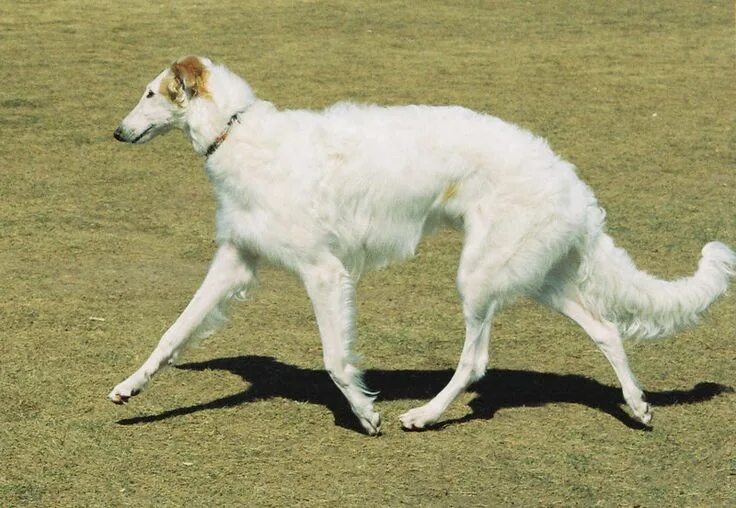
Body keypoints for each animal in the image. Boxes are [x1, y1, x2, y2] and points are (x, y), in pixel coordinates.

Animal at [108, 56, 732, 436]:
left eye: (149, 92)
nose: (117, 132)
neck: (238, 134)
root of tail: (569, 179)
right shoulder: (237, 260)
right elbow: (172, 333)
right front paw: (128, 388)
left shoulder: (323, 271)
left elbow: (335, 360)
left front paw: (365, 413)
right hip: (537, 277)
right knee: (605, 329)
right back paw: (639, 405)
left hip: (479, 277)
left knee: (476, 361)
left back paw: (425, 415)